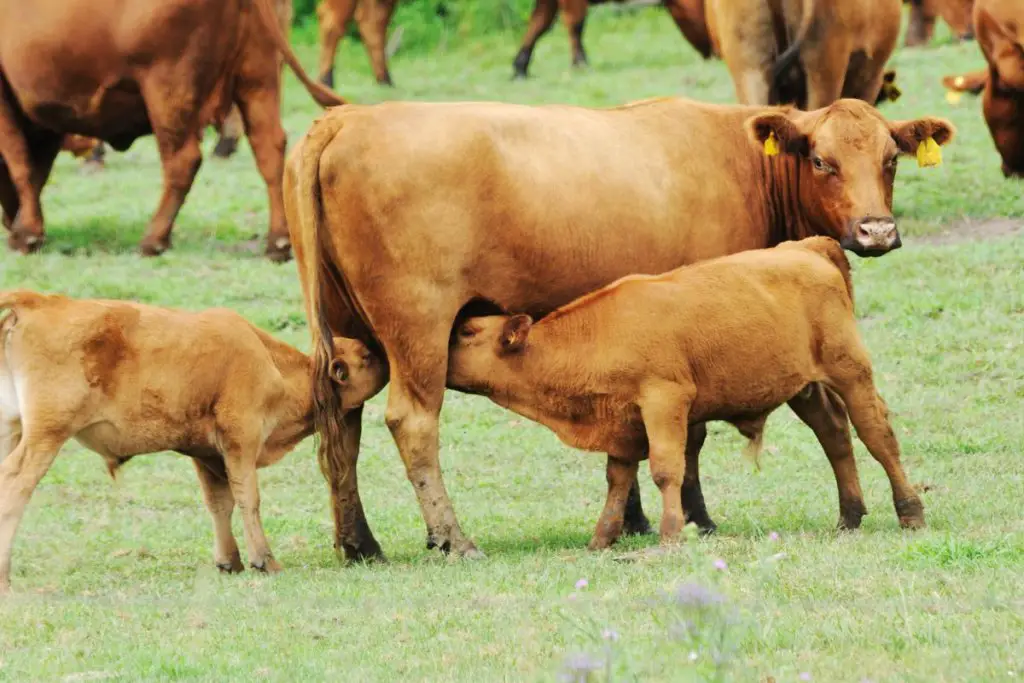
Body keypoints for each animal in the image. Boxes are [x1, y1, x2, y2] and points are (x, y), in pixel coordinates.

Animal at [0, 0, 344, 262]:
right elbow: (37, 169)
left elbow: (20, 164)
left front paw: (26, 233)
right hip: (257, 79)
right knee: (269, 149)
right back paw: (278, 243)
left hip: (167, 91)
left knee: (183, 161)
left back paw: (153, 239)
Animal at [448, 237, 929, 548]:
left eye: (469, 332)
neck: (600, 333)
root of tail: (806, 247)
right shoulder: (622, 420)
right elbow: (617, 479)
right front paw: (602, 539)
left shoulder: (665, 400)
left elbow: (666, 469)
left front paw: (671, 533)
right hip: (805, 388)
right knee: (835, 437)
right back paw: (849, 515)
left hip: (851, 372)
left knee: (877, 435)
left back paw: (910, 511)